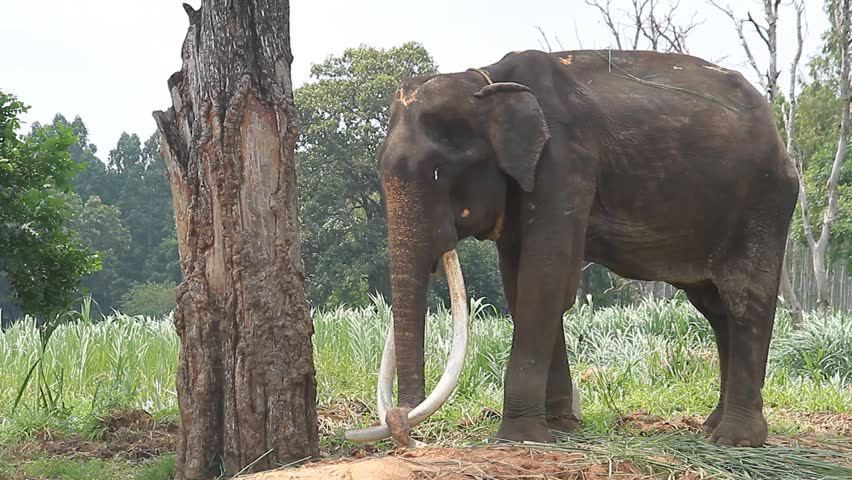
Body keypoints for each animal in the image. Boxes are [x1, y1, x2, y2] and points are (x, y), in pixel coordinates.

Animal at [374, 49, 799, 447]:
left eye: (438, 172)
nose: (405, 433)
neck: (485, 78)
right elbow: (519, 285)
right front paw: (561, 428)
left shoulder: (565, 166)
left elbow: (545, 279)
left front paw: (520, 438)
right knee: (715, 307)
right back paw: (712, 429)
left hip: (764, 202)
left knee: (744, 300)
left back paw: (736, 439)